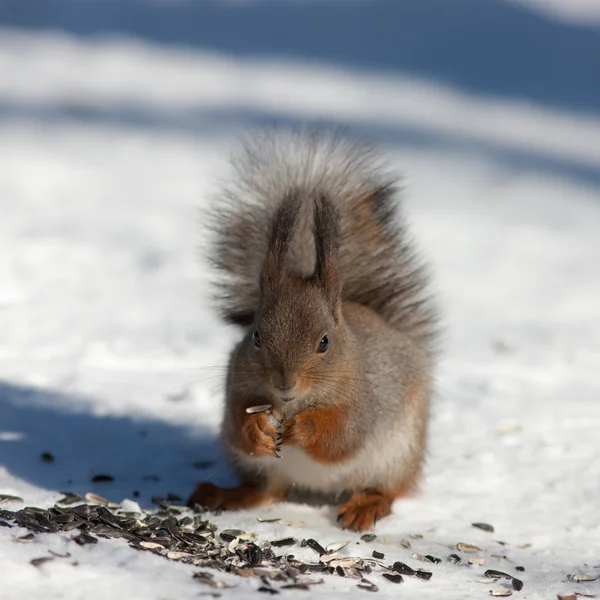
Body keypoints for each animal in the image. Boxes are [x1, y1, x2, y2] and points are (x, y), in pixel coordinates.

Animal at [190, 130, 438, 528]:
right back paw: (226, 495)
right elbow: (237, 424)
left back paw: (366, 506)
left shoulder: (363, 401)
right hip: (259, 468)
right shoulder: (236, 384)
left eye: (324, 343)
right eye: (256, 335)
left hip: (398, 453)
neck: (293, 404)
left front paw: (302, 429)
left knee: (388, 489)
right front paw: (256, 429)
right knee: (268, 492)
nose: (284, 383)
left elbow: (342, 437)